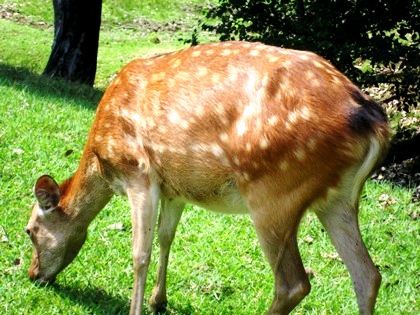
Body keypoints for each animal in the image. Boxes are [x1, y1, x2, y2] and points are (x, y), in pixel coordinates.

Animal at [25, 42, 390, 315]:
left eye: (30, 230)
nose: (32, 274)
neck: (102, 160)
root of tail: (374, 121)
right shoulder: (174, 188)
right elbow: (166, 237)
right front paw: (159, 301)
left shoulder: (138, 171)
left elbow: (140, 253)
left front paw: (139, 307)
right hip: (338, 198)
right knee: (368, 275)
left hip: (274, 193)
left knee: (293, 284)